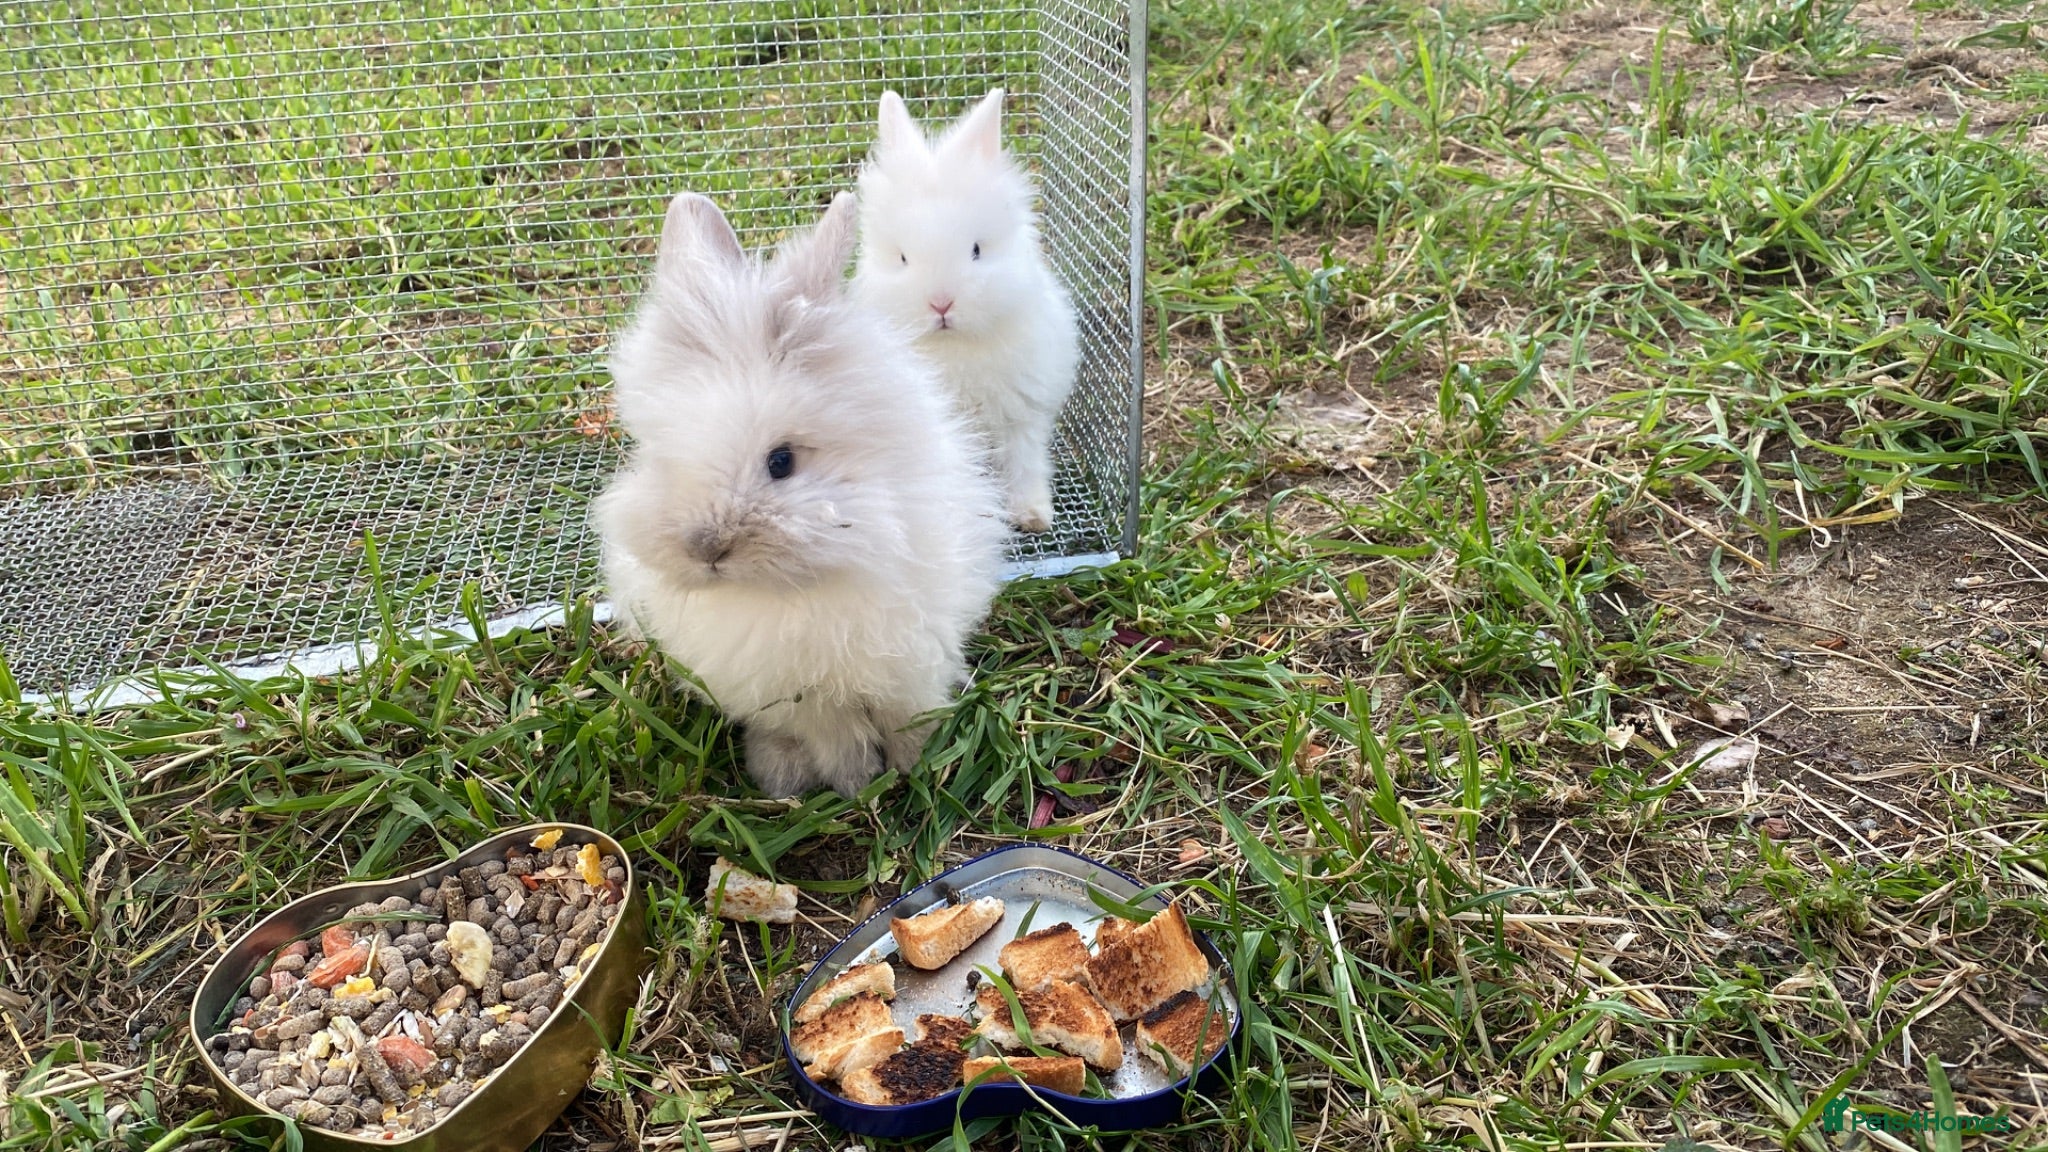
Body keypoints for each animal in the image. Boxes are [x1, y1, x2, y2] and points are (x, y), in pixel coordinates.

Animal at [591, 190, 1009, 799]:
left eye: (781, 461)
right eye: (656, 455)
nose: (705, 549)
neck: (796, 587)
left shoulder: (911, 658)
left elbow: (906, 716)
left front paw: (917, 765)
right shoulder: (799, 695)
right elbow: (834, 735)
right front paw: (856, 783)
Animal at [851, 87, 1080, 535]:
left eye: (976, 250)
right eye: (902, 257)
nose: (941, 303)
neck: (954, 348)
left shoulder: (1023, 412)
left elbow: (1025, 463)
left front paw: (1033, 516)